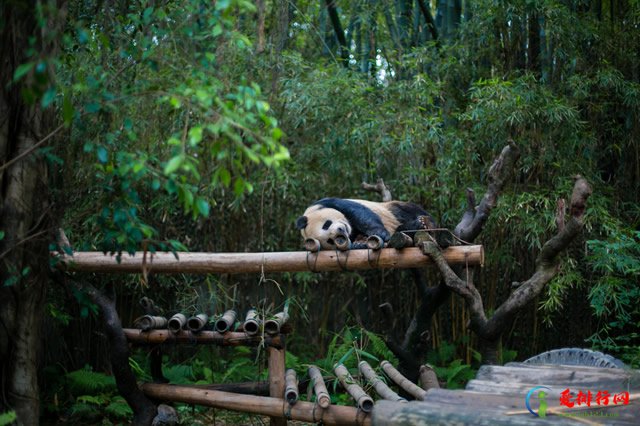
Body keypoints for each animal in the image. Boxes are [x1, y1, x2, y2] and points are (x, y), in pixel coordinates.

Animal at [296, 197, 440, 250]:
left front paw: (381, 233)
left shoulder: (327, 202)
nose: (341, 230)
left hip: (392, 209)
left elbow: (359, 213)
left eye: (326, 224)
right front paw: (360, 243)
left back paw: (422, 223)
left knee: (407, 211)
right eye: (330, 240)